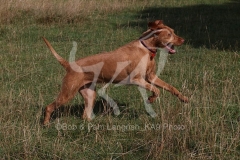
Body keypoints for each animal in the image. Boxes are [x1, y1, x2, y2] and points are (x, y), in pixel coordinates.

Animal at [43, 20, 189, 125]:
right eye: (169, 35)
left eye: (173, 32)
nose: (183, 40)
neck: (146, 49)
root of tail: (69, 65)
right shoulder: (137, 79)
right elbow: (156, 90)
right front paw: (150, 99)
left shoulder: (151, 77)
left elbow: (170, 87)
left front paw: (184, 98)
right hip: (67, 93)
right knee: (49, 107)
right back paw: (45, 124)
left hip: (90, 94)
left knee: (85, 115)